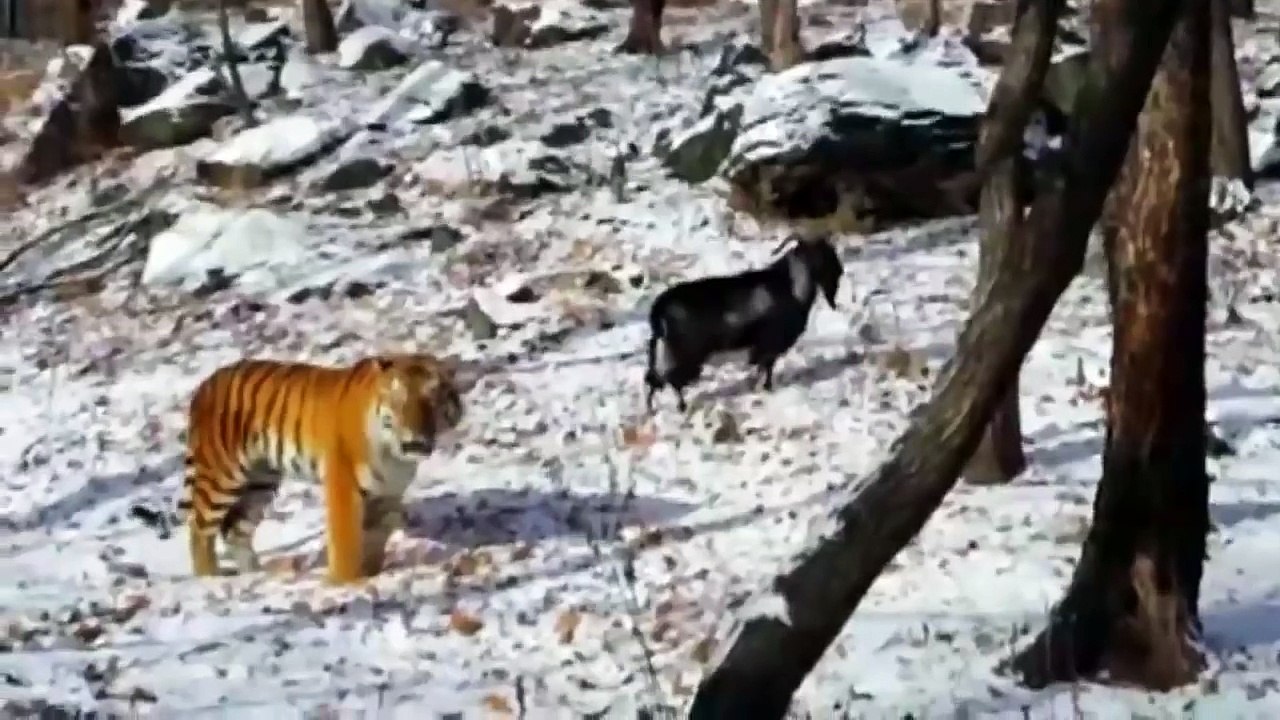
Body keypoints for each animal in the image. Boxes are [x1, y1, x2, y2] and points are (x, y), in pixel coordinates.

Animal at [172, 352, 466, 585]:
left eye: (433, 399)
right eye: (399, 400)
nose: (414, 439)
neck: (394, 454)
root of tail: (204, 385)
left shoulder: (388, 492)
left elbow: (376, 537)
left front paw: (371, 574)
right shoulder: (343, 482)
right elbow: (346, 538)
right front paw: (346, 583)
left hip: (260, 481)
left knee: (236, 529)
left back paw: (258, 575)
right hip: (223, 474)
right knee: (199, 526)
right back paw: (209, 577)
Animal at [644, 236, 843, 412]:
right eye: (820, 254)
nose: (840, 269)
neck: (790, 287)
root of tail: (659, 309)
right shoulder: (769, 343)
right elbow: (766, 367)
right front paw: (766, 388)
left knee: (654, 378)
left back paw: (652, 408)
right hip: (685, 353)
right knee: (672, 379)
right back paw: (681, 406)